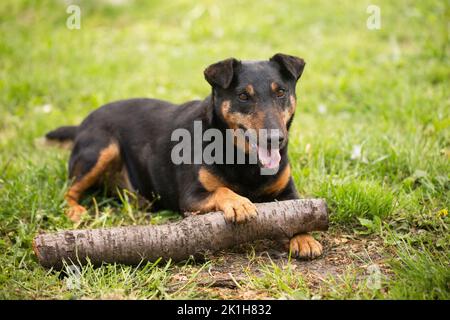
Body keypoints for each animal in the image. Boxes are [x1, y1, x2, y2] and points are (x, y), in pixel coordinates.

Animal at [46, 52, 324, 258]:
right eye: (244, 96)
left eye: (281, 92)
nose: (275, 139)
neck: (243, 159)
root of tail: (82, 123)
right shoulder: (191, 197)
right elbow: (222, 190)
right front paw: (239, 203)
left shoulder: (288, 192)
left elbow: (301, 213)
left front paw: (304, 239)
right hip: (102, 147)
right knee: (69, 190)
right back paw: (75, 210)